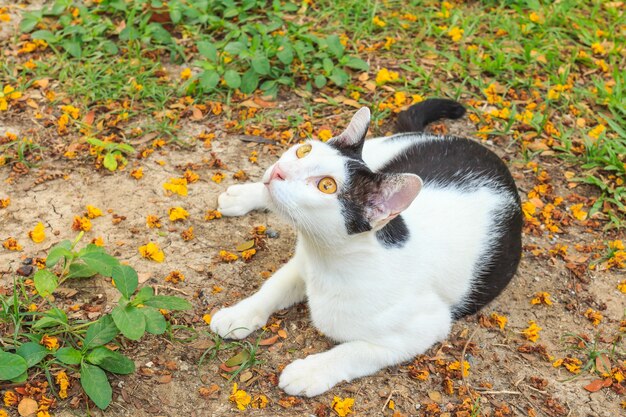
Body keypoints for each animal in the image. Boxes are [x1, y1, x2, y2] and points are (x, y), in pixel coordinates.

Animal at [210, 98, 520, 396]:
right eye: (303, 151)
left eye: (326, 186)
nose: (279, 171)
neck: (327, 258)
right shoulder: (301, 263)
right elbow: (272, 288)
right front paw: (238, 314)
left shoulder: (424, 328)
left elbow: (353, 351)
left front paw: (309, 372)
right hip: (378, 150)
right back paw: (242, 196)